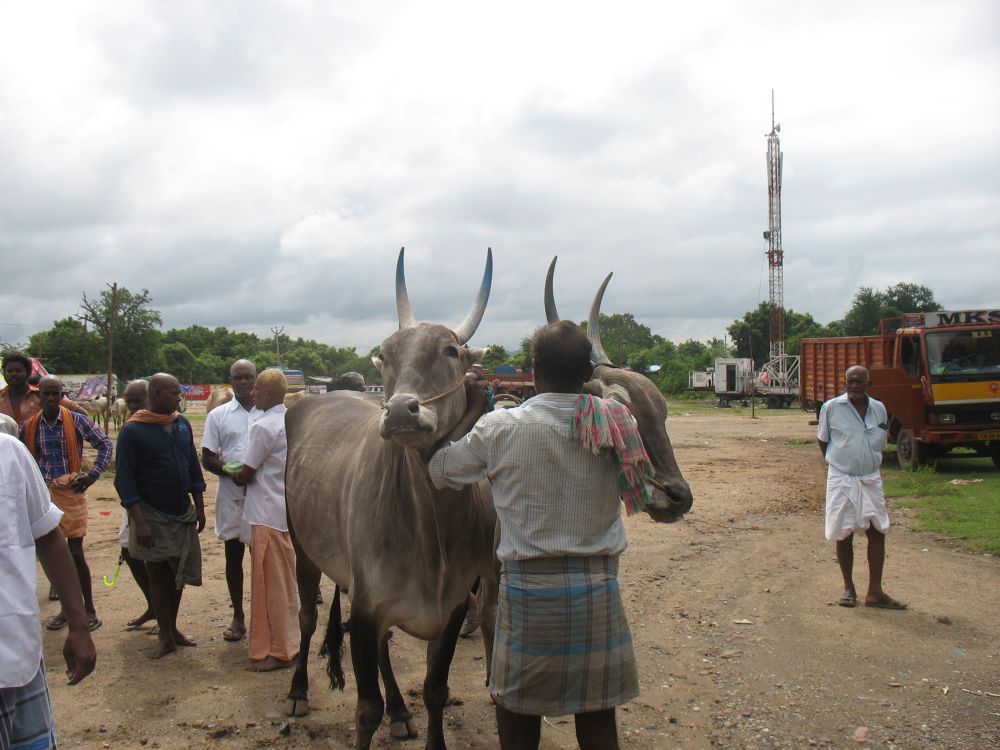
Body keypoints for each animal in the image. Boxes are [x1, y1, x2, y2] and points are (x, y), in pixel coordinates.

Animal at [283, 249, 499, 750]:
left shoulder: (452, 607)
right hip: (303, 548)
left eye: (451, 351)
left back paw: (401, 710)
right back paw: (299, 690)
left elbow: (436, 689)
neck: (431, 531)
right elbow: (366, 710)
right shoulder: (365, 611)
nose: (401, 410)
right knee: (305, 618)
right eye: (384, 354)